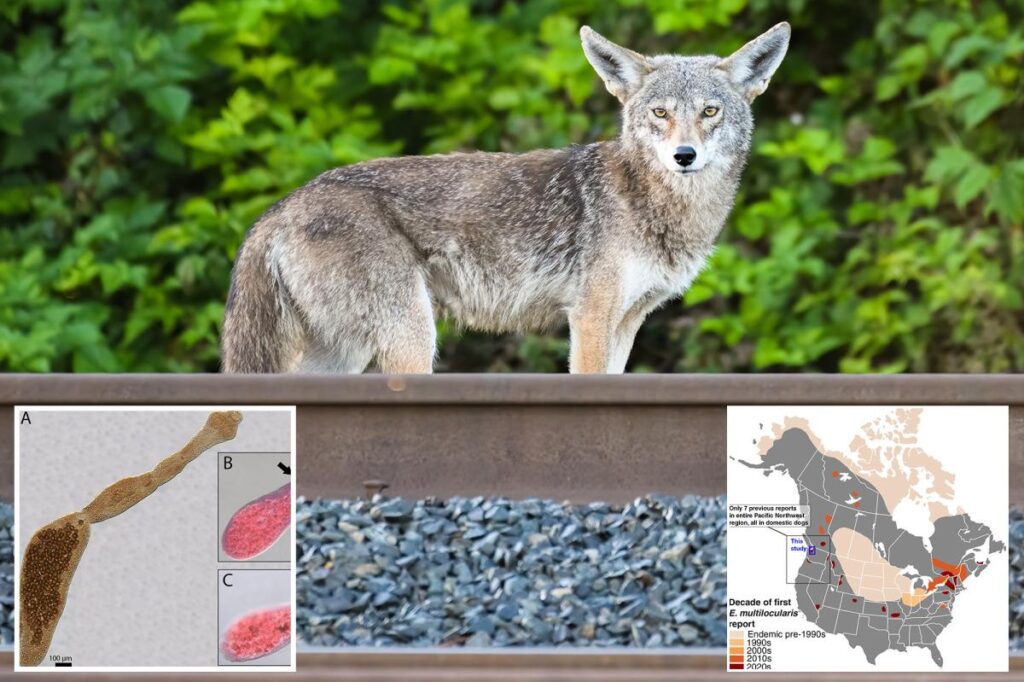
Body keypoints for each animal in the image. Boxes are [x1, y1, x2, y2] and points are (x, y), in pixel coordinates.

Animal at [221, 22, 790, 374]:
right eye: (661, 113)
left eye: (710, 111)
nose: (684, 156)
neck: (656, 206)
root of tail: (280, 208)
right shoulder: (589, 317)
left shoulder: (628, 321)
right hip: (411, 337)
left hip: (351, 349)